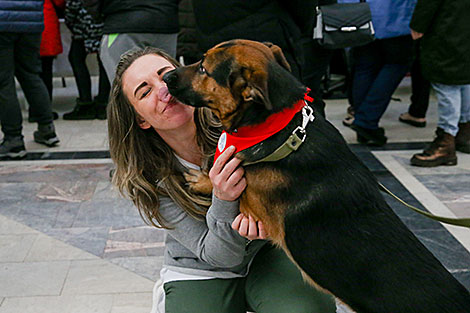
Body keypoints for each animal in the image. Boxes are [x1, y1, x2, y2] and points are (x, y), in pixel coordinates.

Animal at [162, 39, 470, 312]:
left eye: (204, 68)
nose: (165, 76)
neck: (280, 129)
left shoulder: (254, 207)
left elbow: (227, 181)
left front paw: (203, 179)